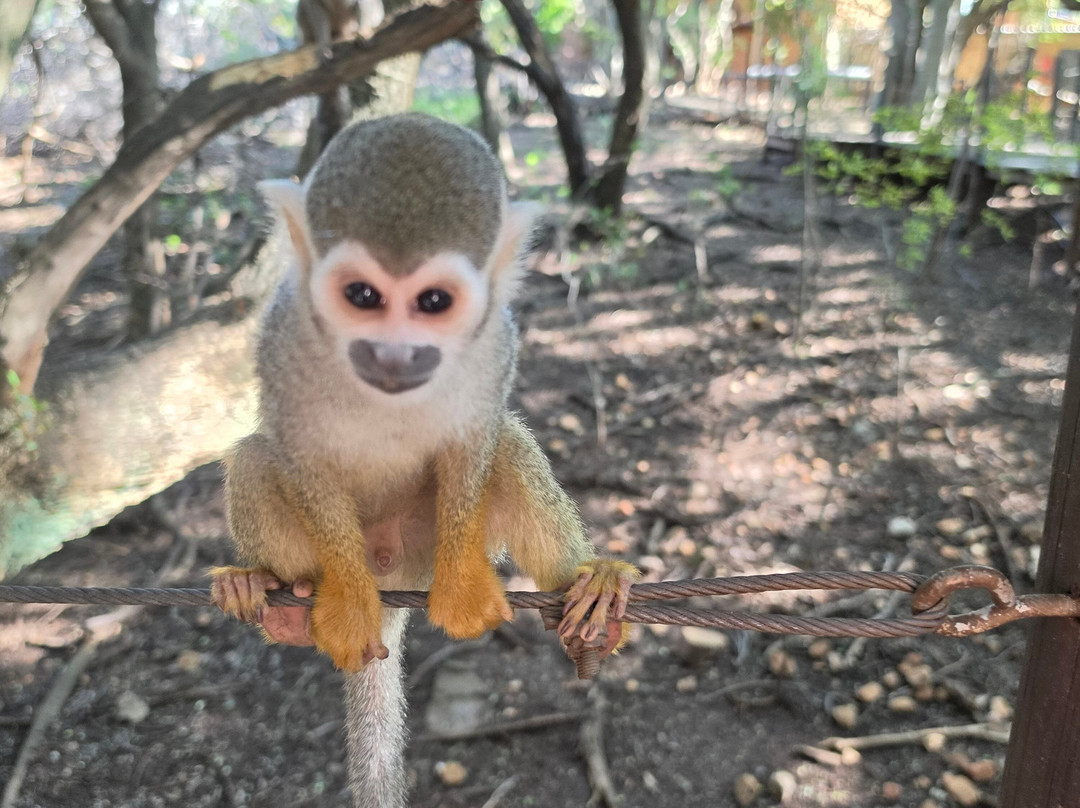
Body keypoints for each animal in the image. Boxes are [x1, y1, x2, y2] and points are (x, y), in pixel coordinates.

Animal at [209, 113, 639, 808]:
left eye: (434, 302)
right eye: (362, 295)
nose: (395, 354)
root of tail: (396, 577)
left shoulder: (497, 341)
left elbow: (474, 440)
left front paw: (462, 590)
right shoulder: (282, 330)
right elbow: (300, 453)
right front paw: (348, 603)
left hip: (421, 545)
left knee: (508, 445)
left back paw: (589, 595)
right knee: (254, 458)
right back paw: (278, 603)